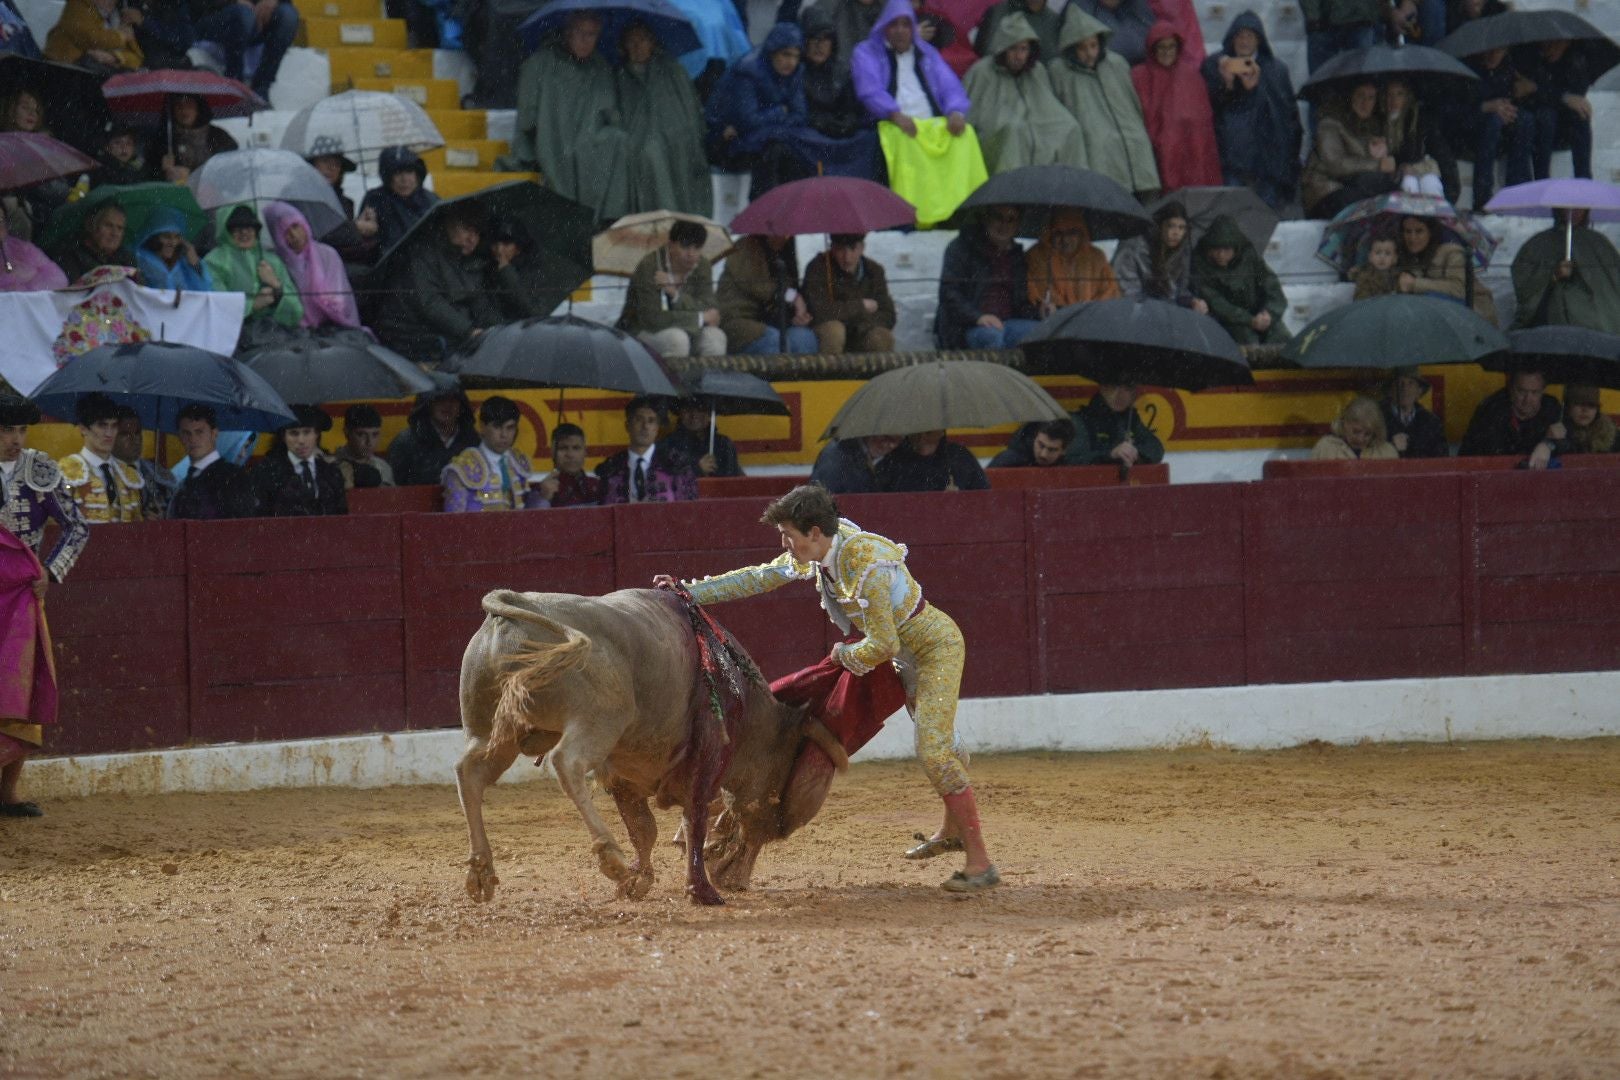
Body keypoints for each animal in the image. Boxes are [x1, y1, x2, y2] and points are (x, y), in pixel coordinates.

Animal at [450, 586, 842, 906]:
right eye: (777, 791)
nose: (736, 879)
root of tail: (516, 602)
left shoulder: (624, 776)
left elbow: (643, 829)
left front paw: (638, 881)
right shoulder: (706, 760)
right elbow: (693, 820)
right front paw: (701, 891)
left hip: (491, 729)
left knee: (469, 773)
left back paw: (480, 872)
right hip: (600, 719)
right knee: (567, 762)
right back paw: (611, 857)